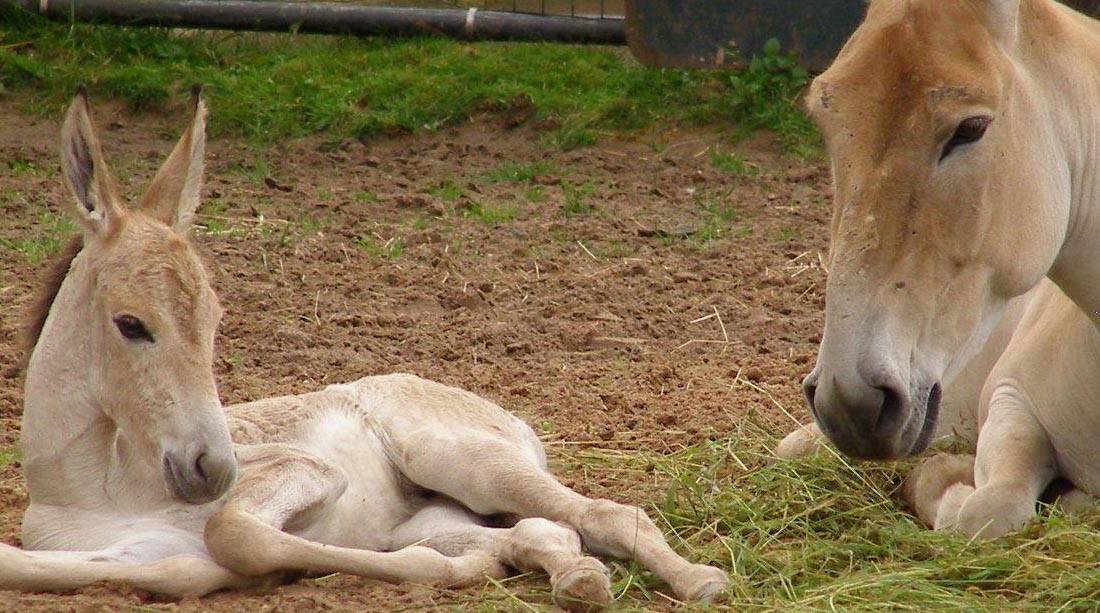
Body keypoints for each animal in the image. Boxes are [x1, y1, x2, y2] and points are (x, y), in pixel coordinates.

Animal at [4, 88, 734, 607]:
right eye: (131, 323)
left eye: (214, 319)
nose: (213, 468)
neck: (94, 488)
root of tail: (503, 414)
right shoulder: (115, 549)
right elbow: (149, 566)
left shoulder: (307, 470)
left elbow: (232, 533)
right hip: (439, 509)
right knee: (545, 531)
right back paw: (577, 579)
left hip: (463, 460)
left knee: (603, 512)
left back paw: (699, 580)